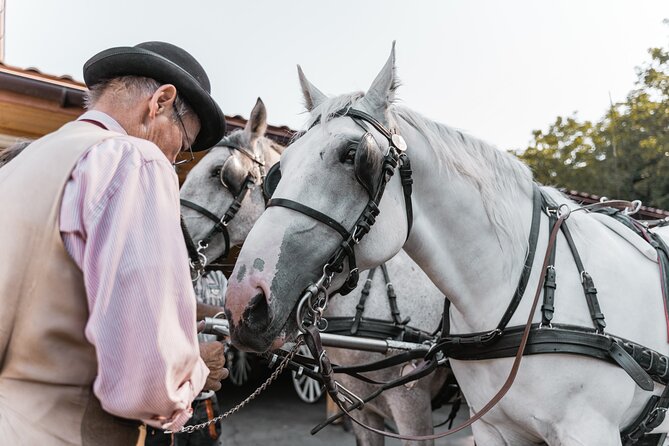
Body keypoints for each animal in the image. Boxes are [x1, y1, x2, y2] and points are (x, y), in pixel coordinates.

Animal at [223, 46, 668, 446]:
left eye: (353, 156)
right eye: (279, 169)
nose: (245, 301)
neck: (517, 293)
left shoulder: (584, 429)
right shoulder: (490, 428)